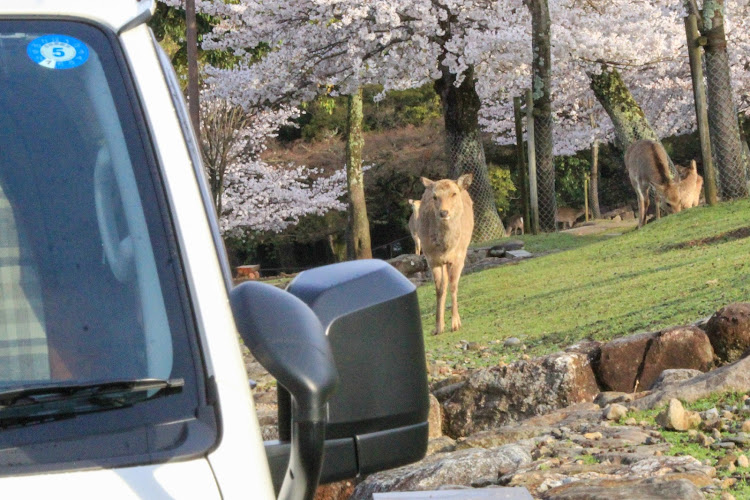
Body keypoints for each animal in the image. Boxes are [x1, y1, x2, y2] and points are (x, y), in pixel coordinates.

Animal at [418, 174, 476, 334]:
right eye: (435, 196)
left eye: (454, 194)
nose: (444, 212)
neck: (446, 248)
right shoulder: (432, 260)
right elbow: (439, 289)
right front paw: (438, 327)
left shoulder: (459, 257)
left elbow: (453, 285)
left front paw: (455, 324)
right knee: (443, 286)